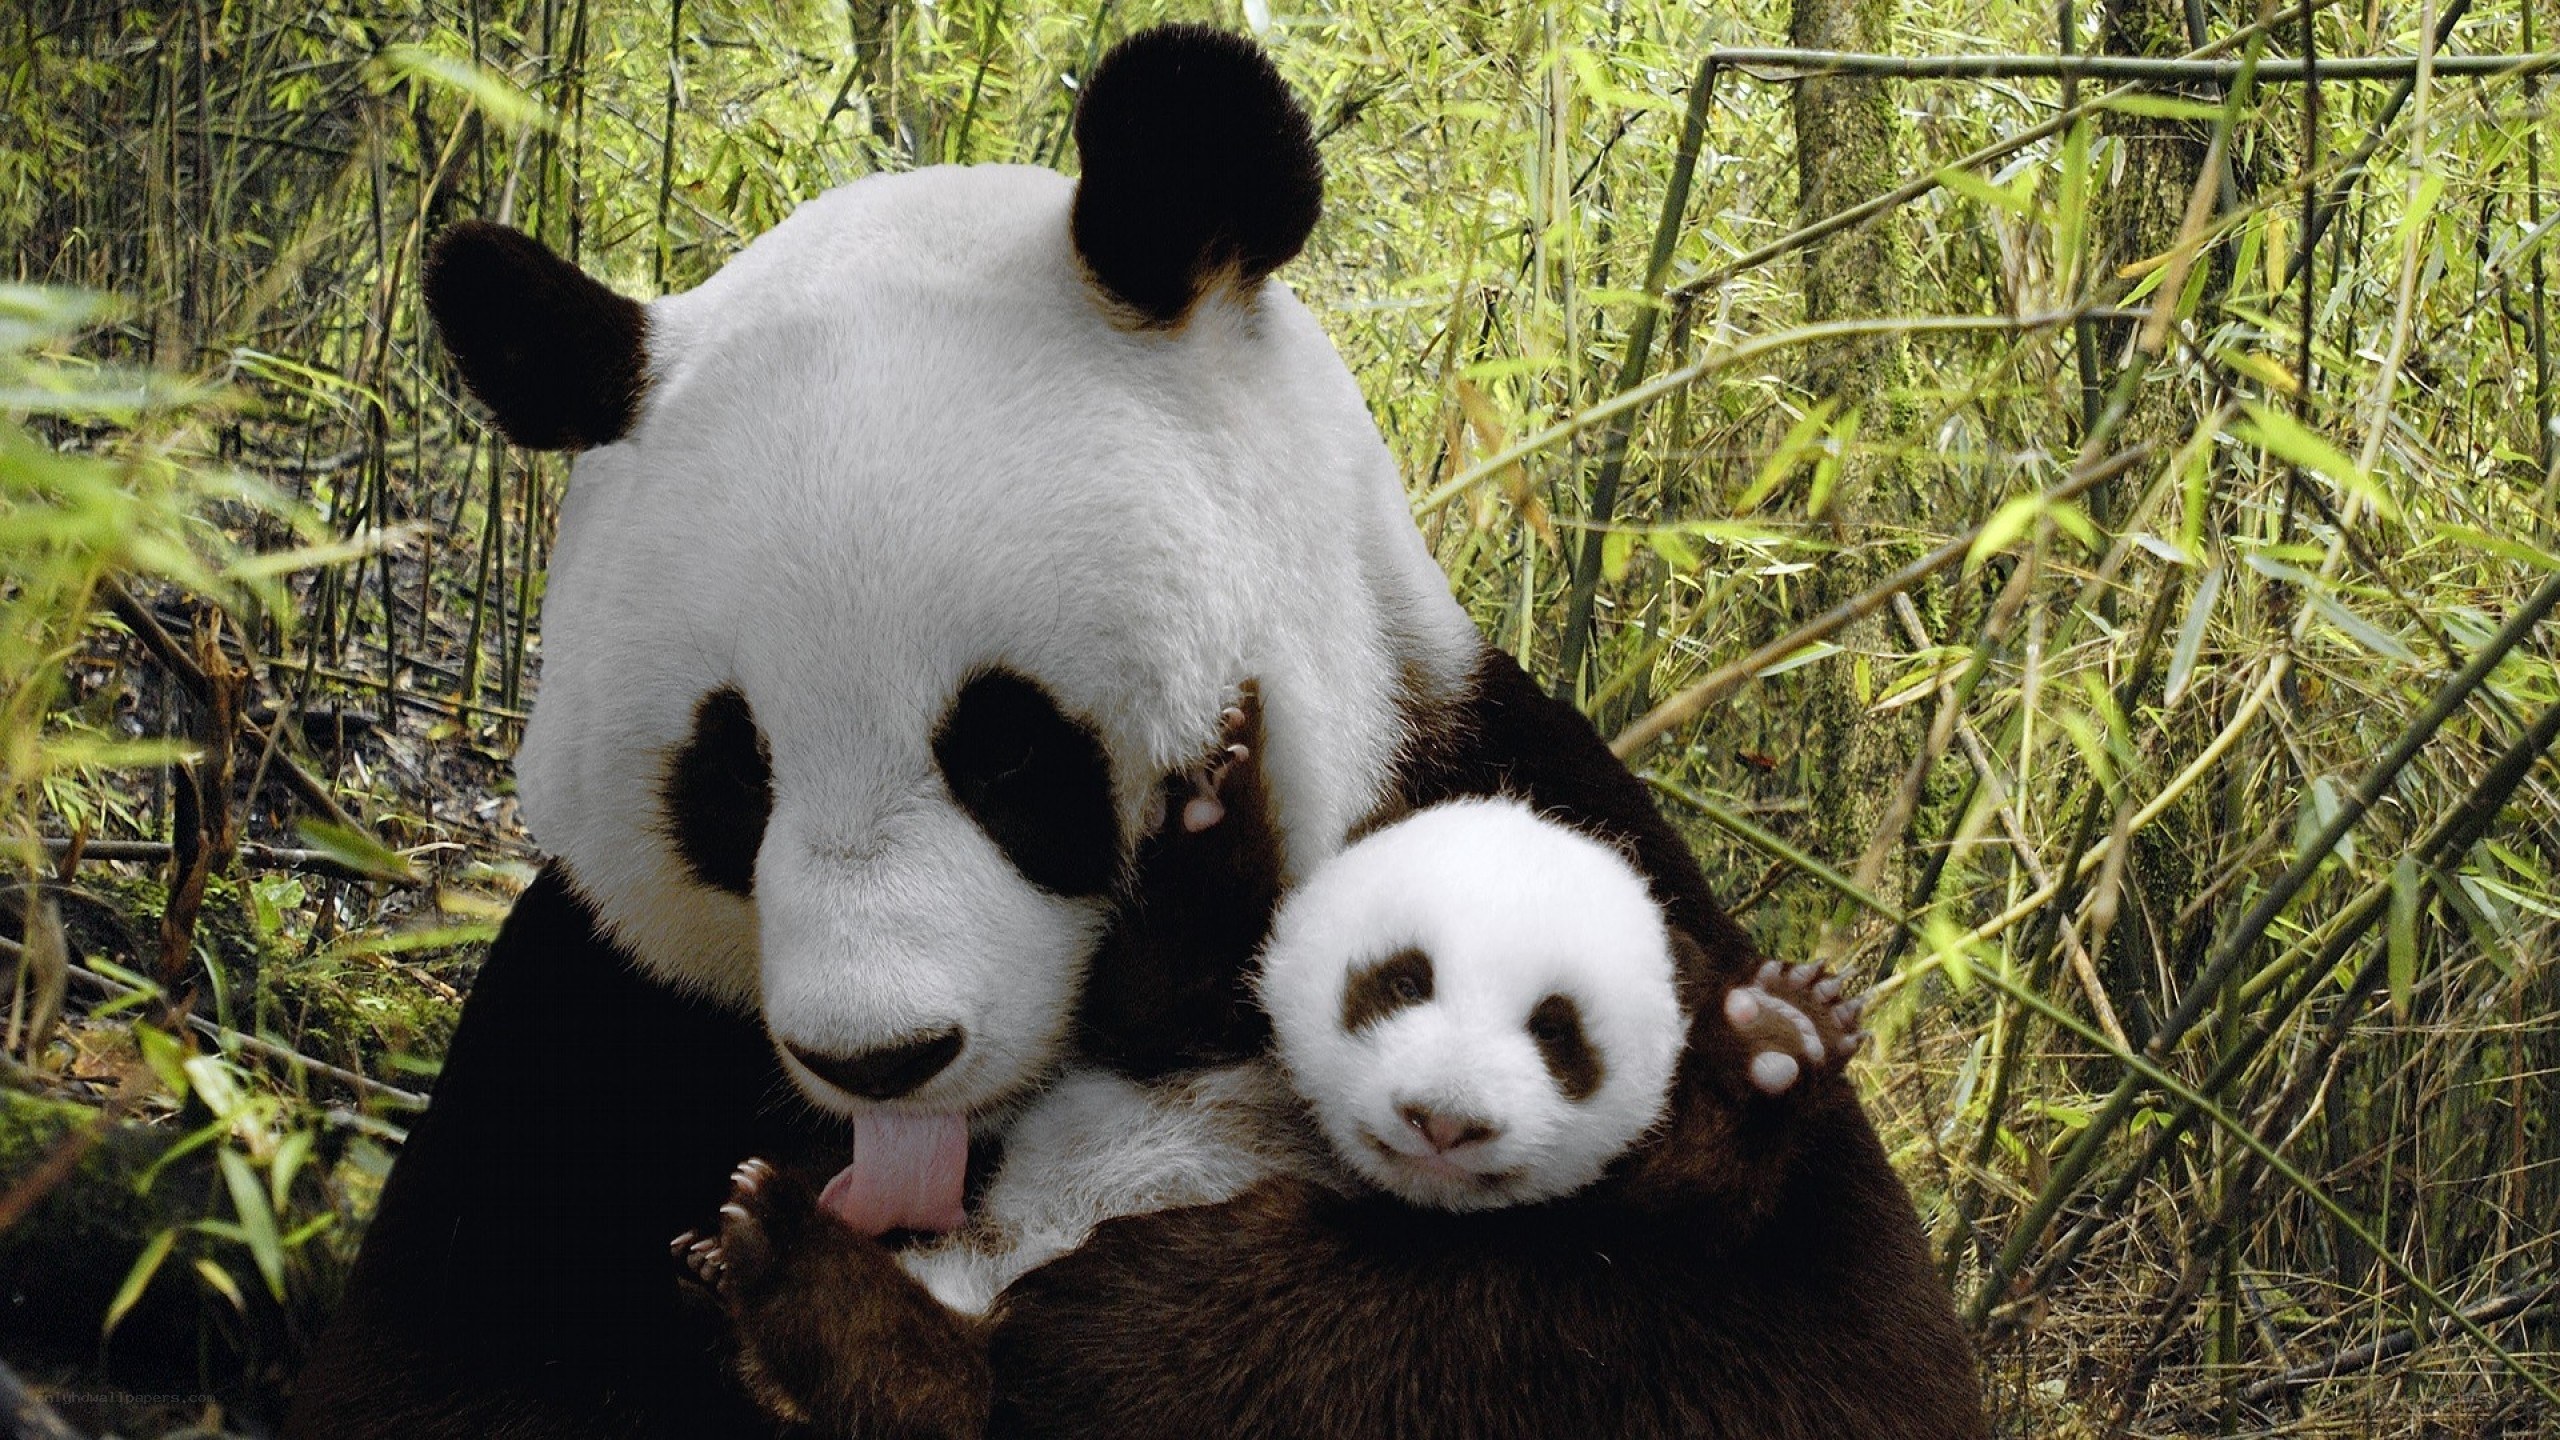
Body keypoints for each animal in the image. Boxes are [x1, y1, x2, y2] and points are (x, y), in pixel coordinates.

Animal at [286, 24, 1984, 1440]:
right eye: (733, 777)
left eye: (1009, 754)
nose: (881, 1062)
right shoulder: (589, 1022)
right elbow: (445, 1367)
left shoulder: (1515, 801)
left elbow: (1781, 1344)